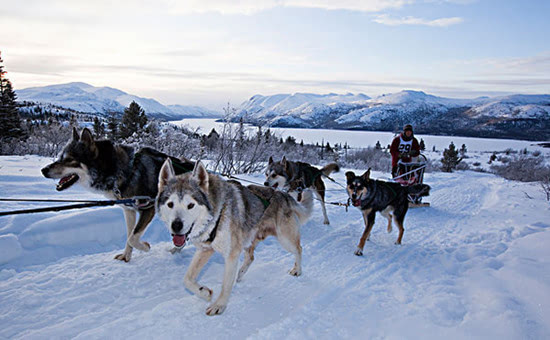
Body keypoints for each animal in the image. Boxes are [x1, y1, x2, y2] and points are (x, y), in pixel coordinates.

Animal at [39, 128, 194, 262]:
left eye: (69, 159)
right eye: (60, 157)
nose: (43, 170)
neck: (128, 171)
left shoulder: (147, 209)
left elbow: (133, 237)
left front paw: (145, 247)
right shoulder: (129, 211)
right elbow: (130, 235)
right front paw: (126, 256)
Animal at [157, 159, 312, 316]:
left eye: (190, 205)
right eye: (170, 204)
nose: (176, 226)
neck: (217, 213)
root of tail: (284, 195)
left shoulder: (232, 254)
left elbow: (225, 284)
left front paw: (219, 305)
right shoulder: (205, 250)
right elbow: (187, 279)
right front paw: (204, 292)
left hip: (285, 239)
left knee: (299, 249)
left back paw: (297, 270)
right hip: (250, 240)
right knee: (250, 258)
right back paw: (239, 275)